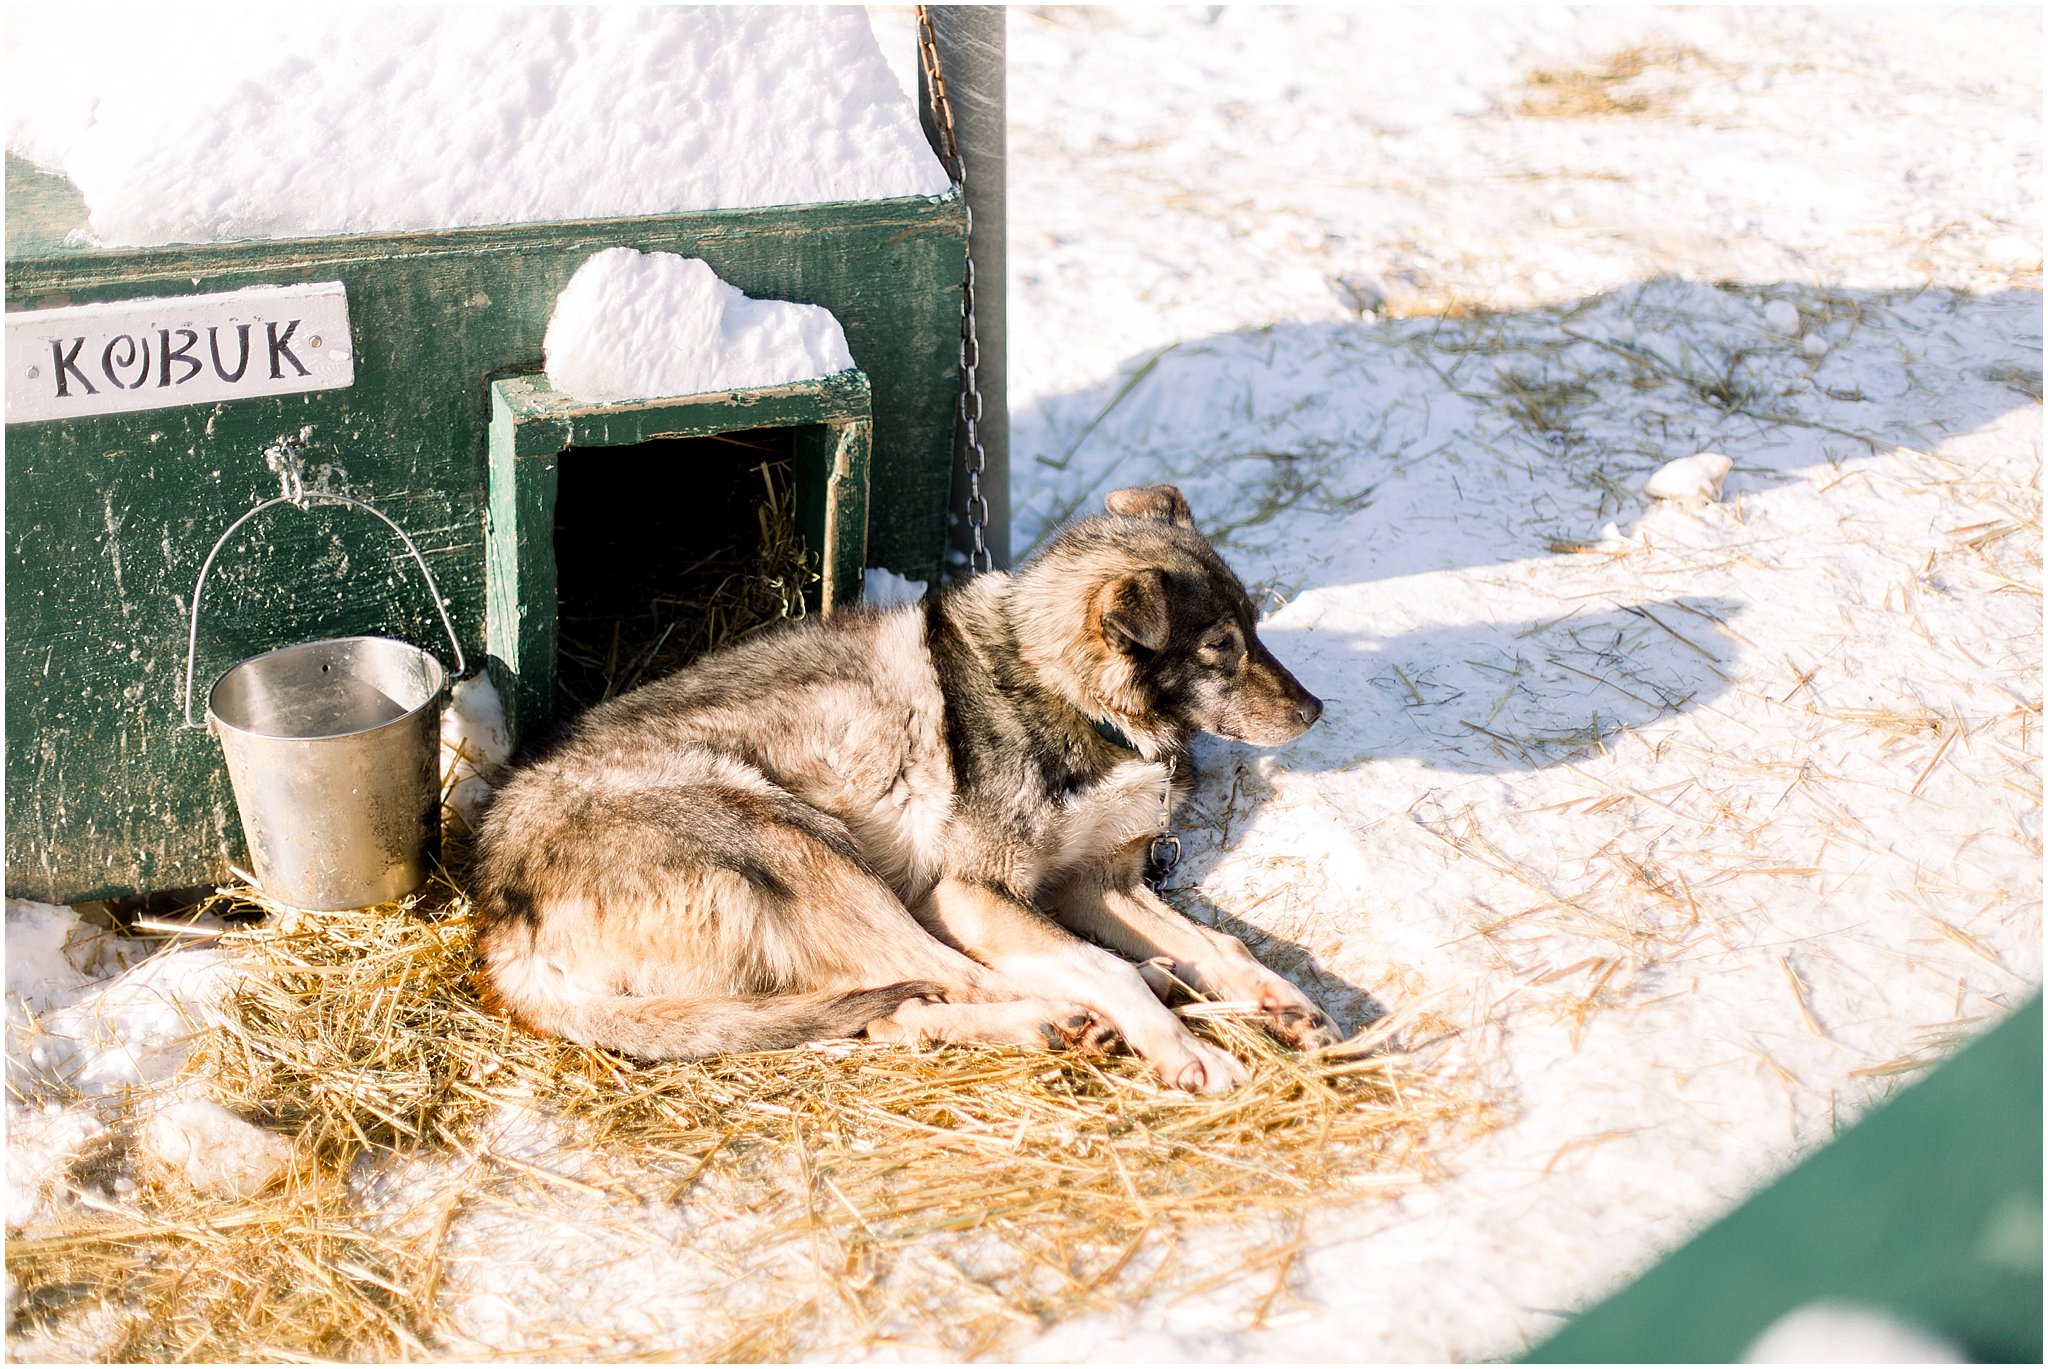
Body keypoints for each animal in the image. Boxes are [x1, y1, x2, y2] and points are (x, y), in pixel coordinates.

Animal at [479, 481, 1343, 1090]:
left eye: (1255, 627)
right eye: (1220, 649)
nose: (1316, 708)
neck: (1068, 697)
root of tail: (501, 917)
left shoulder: (1095, 885)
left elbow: (1221, 941)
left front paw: (1285, 1001)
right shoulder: (969, 895)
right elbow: (1105, 965)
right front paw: (1188, 1052)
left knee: (901, 1010)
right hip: (804, 845)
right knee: (945, 980)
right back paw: (1076, 1014)